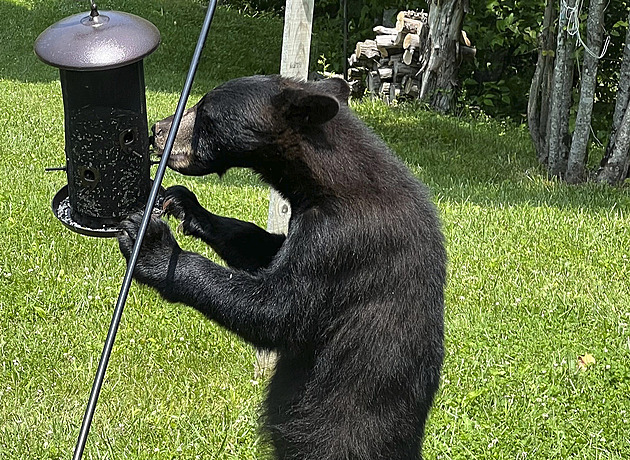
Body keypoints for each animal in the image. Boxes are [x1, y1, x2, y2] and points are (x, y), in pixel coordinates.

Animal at [117, 75, 444, 460]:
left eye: (205, 113)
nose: (158, 129)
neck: (327, 181)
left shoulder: (339, 240)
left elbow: (279, 309)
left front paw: (153, 246)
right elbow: (265, 248)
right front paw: (186, 205)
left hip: (338, 433)